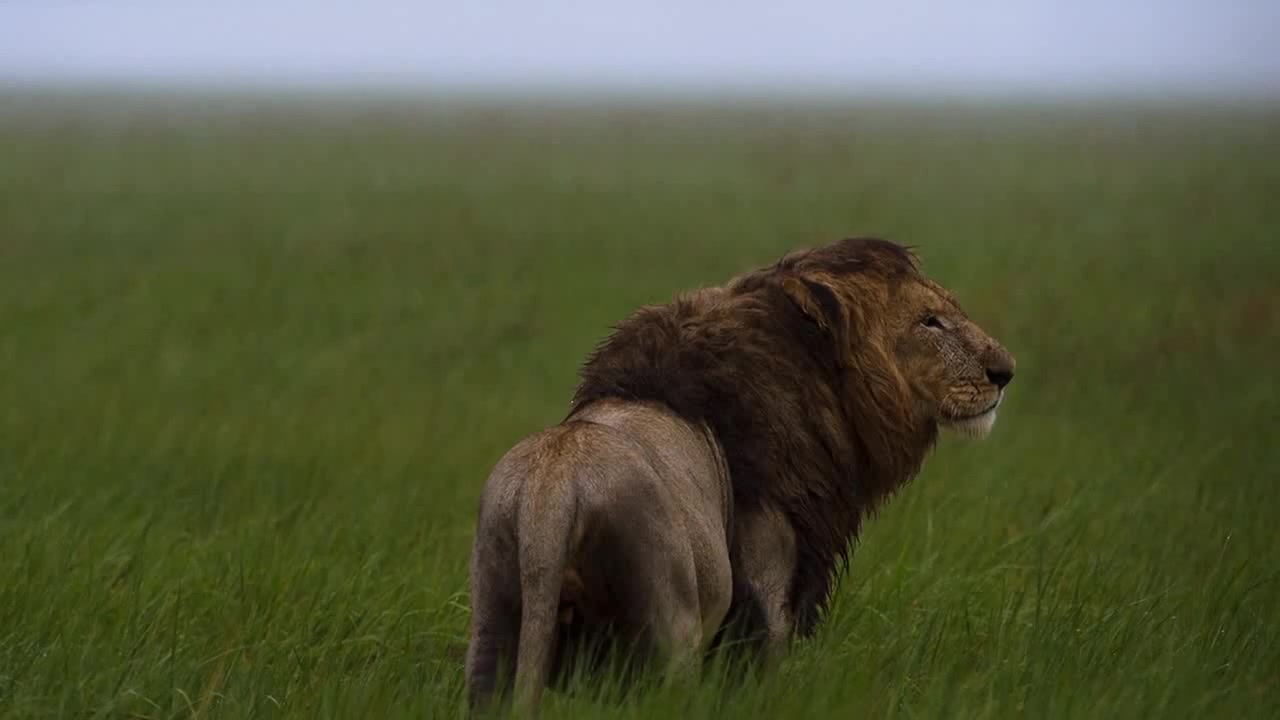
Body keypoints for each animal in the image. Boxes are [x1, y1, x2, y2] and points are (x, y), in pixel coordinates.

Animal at [460, 237, 1008, 712]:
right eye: (930, 322)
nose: (1006, 371)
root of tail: (551, 495)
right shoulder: (768, 591)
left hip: (492, 623)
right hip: (669, 634)